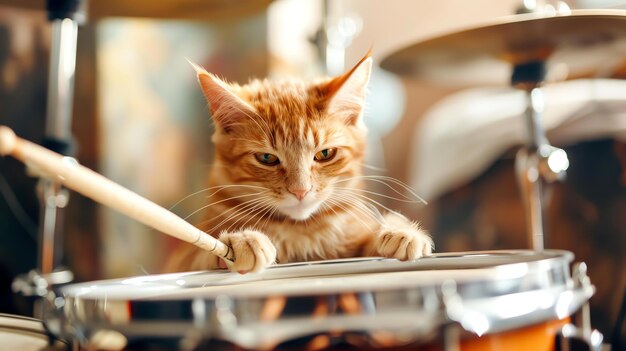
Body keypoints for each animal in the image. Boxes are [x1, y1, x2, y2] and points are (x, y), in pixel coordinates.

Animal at [165, 54, 428, 276]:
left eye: (325, 154)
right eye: (267, 158)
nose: (300, 191)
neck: (300, 230)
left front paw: (400, 230)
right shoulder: (180, 262)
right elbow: (201, 253)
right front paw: (240, 240)